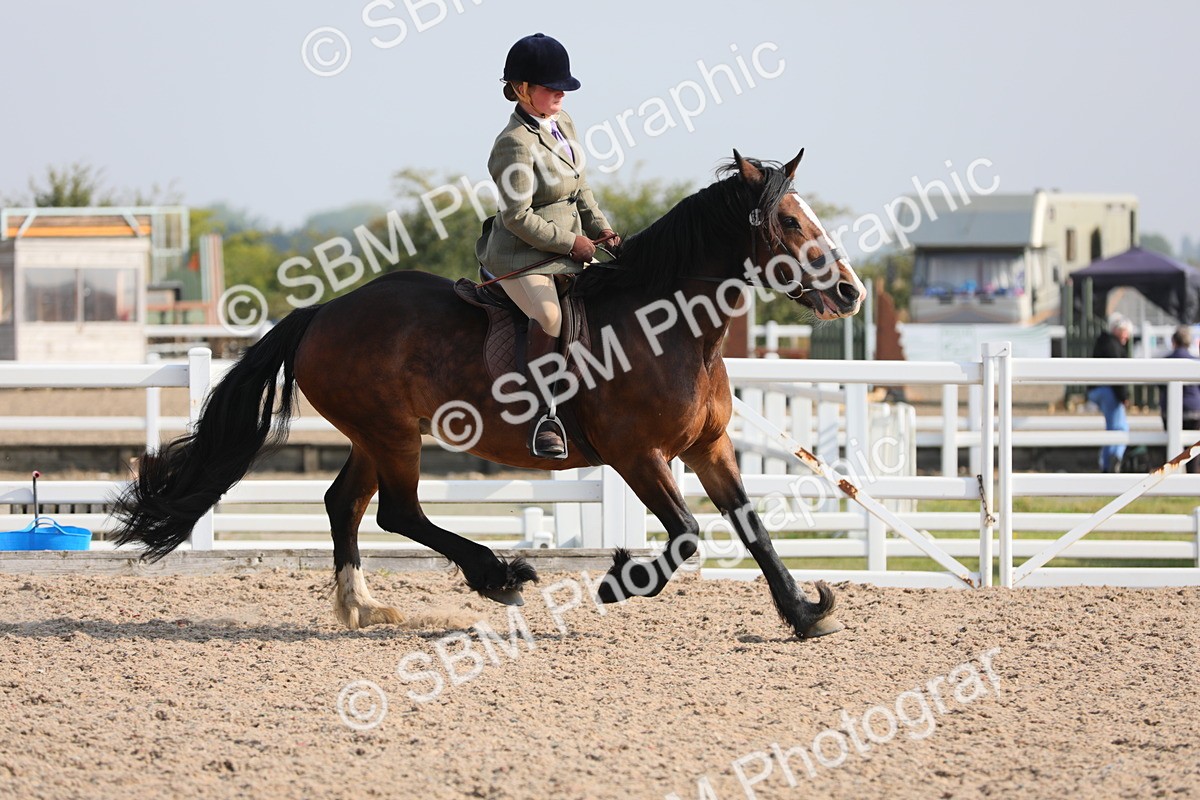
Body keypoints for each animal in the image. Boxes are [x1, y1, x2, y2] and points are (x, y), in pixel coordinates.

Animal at [112, 149, 865, 640]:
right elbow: (684, 535)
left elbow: (751, 527)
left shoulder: (709, 447)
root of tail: (322, 312)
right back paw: (499, 575)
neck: (671, 327)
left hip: (375, 435)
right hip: (393, 434)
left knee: (343, 504)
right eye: (790, 222)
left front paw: (806, 614)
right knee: (398, 513)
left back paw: (364, 607)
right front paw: (617, 580)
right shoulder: (636, 454)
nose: (850, 291)